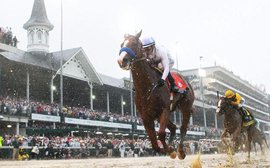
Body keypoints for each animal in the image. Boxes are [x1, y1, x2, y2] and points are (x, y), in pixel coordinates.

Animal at [116, 30, 194, 159]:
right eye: (121, 44)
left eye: (135, 43)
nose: (121, 60)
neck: (147, 87)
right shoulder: (146, 116)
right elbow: (154, 143)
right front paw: (167, 149)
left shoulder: (165, 110)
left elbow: (161, 134)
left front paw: (170, 150)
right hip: (158, 114)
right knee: (173, 127)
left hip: (185, 106)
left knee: (183, 128)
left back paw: (180, 151)